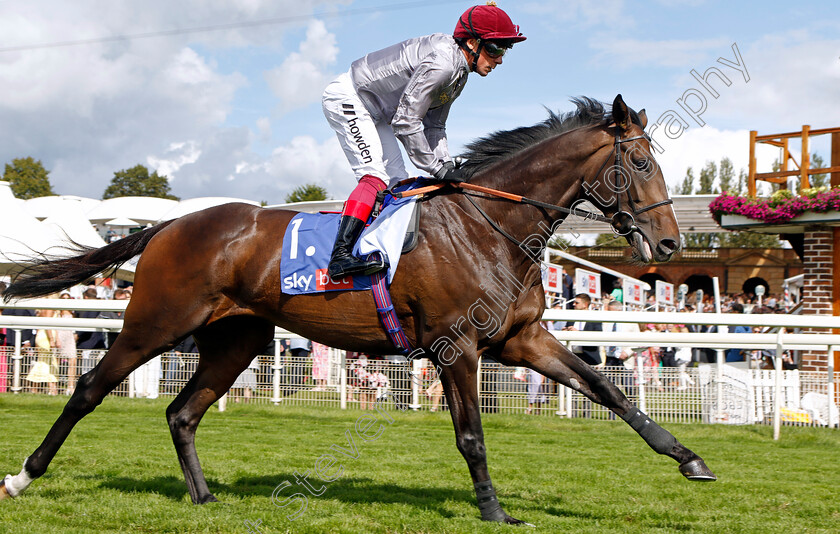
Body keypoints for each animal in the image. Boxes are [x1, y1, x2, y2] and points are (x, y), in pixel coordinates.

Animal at [4, 95, 716, 524]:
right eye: (641, 161)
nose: (669, 245)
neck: (489, 226)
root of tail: (170, 225)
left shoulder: (522, 339)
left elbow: (607, 390)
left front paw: (691, 460)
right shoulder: (457, 348)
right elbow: (472, 435)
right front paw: (493, 511)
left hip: (237, 340)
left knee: (182, 412)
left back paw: (204, 498)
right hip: (155, 323)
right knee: (89, 389)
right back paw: (23, 477)